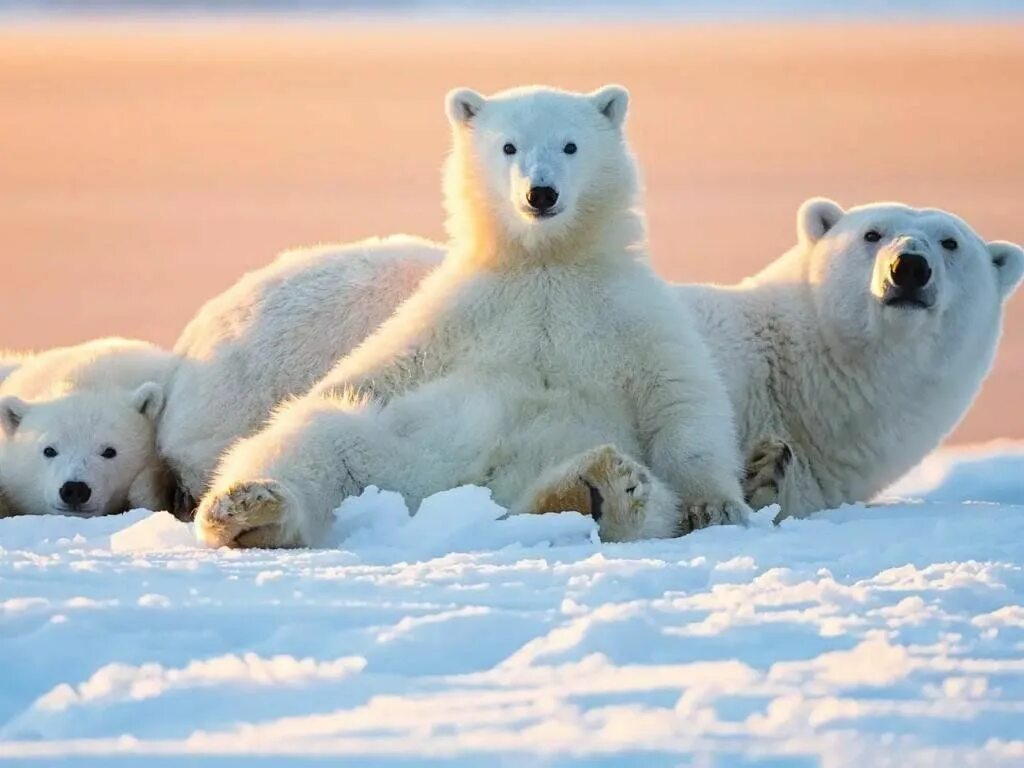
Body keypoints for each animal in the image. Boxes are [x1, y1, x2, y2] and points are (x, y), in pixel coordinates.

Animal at [193, 83, 753, 548]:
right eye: (508, 147)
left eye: (570, 146)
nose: (540, 193)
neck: (544, 263)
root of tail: (477, 494)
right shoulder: (459, 310)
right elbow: (375, 370)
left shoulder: (628, 308)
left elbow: (680, 397)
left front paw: (715, 506)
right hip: (400, 455)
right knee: (321, 437)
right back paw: (247, 508)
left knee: (648, 503)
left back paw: (600, 489)